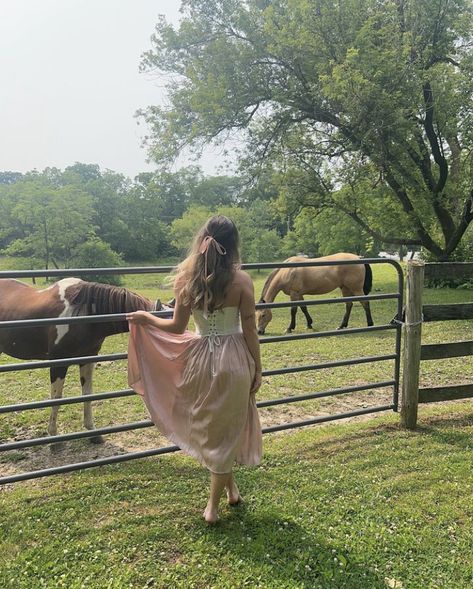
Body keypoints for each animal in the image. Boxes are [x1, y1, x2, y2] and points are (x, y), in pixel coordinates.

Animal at [0, 278, 166, 444]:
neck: (84, 316)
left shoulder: (88, 359)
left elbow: (87, 394)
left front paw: (92, 431)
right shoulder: (58, 362)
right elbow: (56, 398)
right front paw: (53, 436)